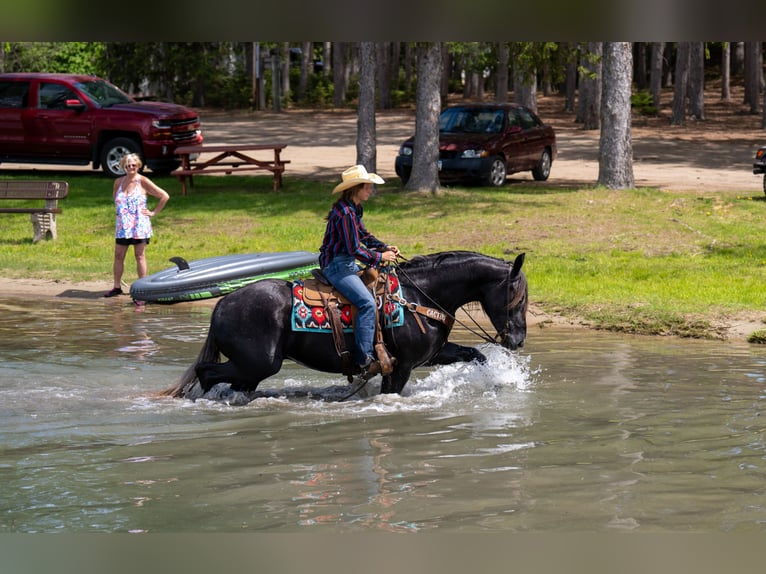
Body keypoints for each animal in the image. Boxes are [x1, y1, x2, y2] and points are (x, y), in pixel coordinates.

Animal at [160, 251, 527, 400]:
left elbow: (476, 355)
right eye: (517, 296)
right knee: (207, 374)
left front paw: (499, 381)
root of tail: (222, 305)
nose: (518, 340)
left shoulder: (433, 354)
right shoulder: (401, 366)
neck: (417, 295)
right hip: (258, 363)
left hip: (250, 368)